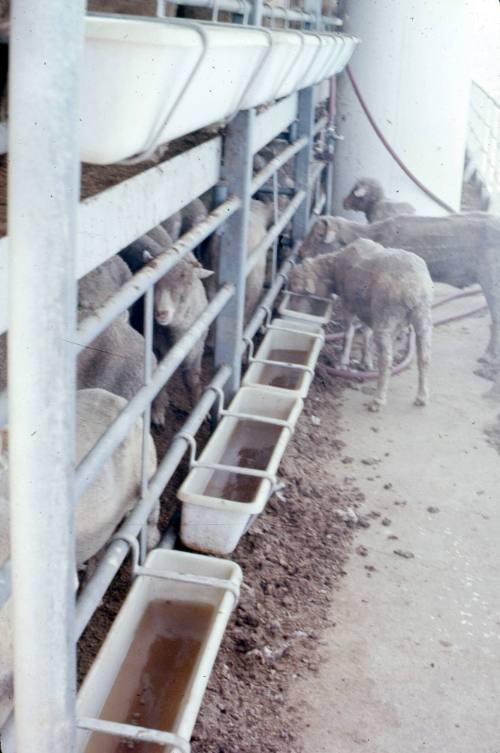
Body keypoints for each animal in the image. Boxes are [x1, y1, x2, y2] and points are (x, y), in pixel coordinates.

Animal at [290, 238, 434, 412]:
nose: (293, 312)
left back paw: (378, 400)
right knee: (424, 357)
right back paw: (422, 397)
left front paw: (343, 363)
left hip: (386, 315)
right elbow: (367, 334)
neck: (334, 268)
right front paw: (366, 361)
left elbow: (349, 333)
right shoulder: (367, 310)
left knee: (386, 360)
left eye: (299, 292)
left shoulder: (349, 305)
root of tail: (414, 289)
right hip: (422, 317)